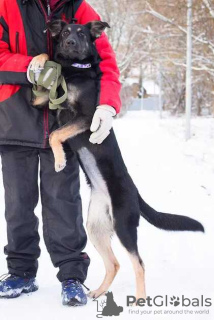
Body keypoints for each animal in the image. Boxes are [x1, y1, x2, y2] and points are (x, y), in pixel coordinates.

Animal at [31, 19, 204, 300]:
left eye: (82, 34)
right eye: (65, 32)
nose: (70, 43)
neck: (74, 70)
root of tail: (136, 194)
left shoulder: (85, 118)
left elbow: (56, 134)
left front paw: (59, 161)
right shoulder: (42, 101)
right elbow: (43, 83)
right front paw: (38, 60)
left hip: (124, 226)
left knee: (139, 264)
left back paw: (140, 299)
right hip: (96, 227)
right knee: (114, 263)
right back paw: (99, 291)